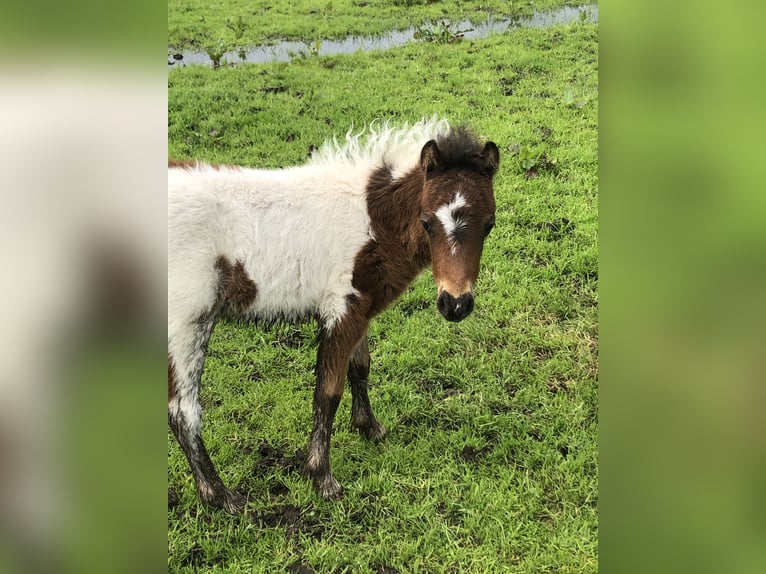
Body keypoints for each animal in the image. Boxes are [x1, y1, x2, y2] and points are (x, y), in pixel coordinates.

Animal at [169, 119, 500, 516]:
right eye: (427, 222)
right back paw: (220, 496)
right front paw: (322, 478)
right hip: (186, 321)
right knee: (182, 412)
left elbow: (361, 367)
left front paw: (370, 428)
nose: (455, 304)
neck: (372, 218)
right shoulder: (341, 307)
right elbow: (328, 391)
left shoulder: (361, 306)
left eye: (489, 224)